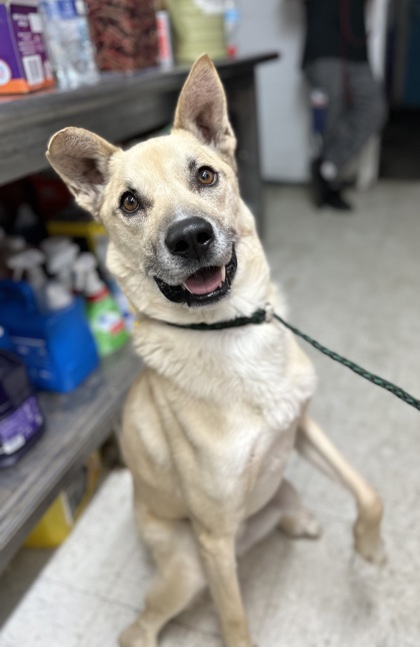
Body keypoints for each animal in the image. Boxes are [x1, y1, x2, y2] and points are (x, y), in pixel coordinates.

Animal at [46, 55, 384, 647]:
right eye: (129, 202)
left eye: (205, 175)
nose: (190, 237)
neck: (229, 329)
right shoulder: (213, 536)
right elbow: (234, 621)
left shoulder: (301, 427)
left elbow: (368, 493)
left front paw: (369, 546)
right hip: (186, 568)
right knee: (141, 626)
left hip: (275, 495)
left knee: (287, 509)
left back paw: (302, 521)